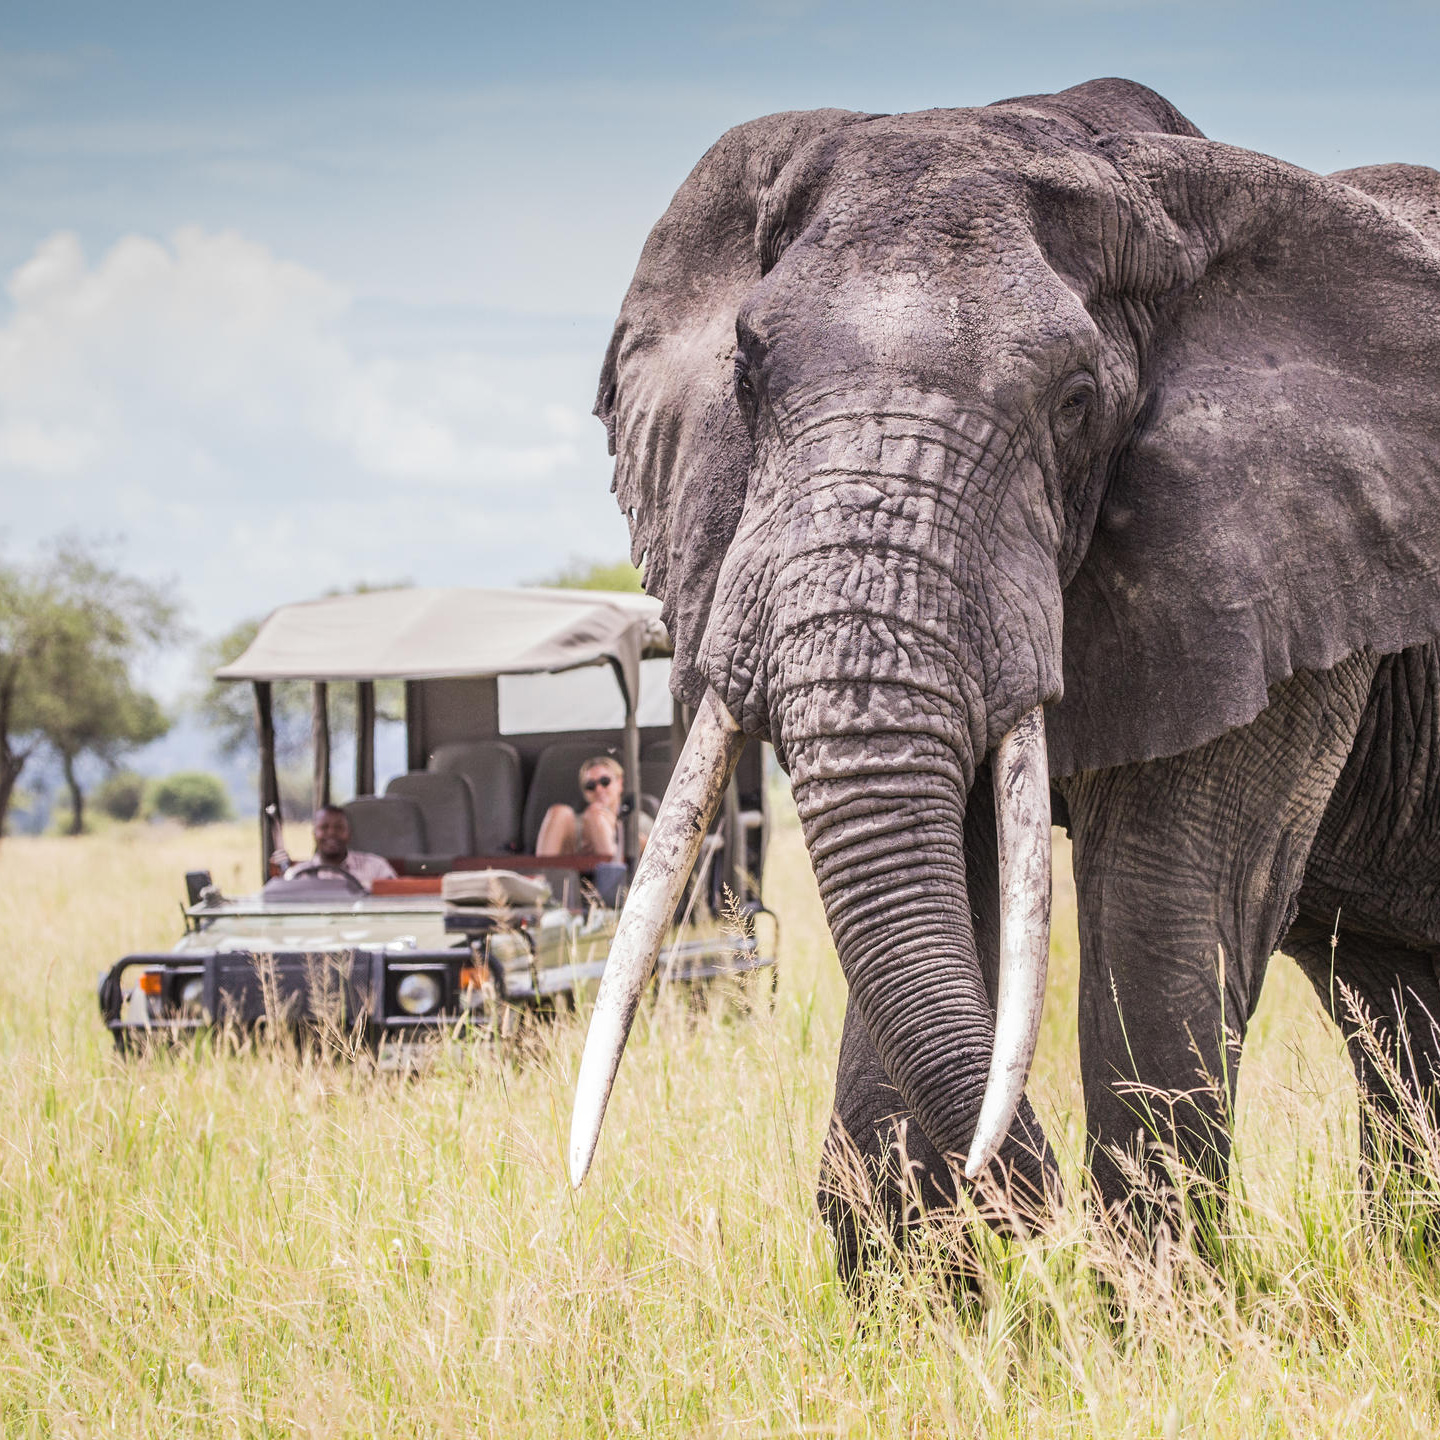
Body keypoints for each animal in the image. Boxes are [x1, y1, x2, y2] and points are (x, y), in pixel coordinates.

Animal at [561, 73, 1440, 1278]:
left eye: (1075, 401)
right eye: (745, 370)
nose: (1031, 1215)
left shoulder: (1290, 559)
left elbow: (1169, 910)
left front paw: (1152, 1304)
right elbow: (953, 893)